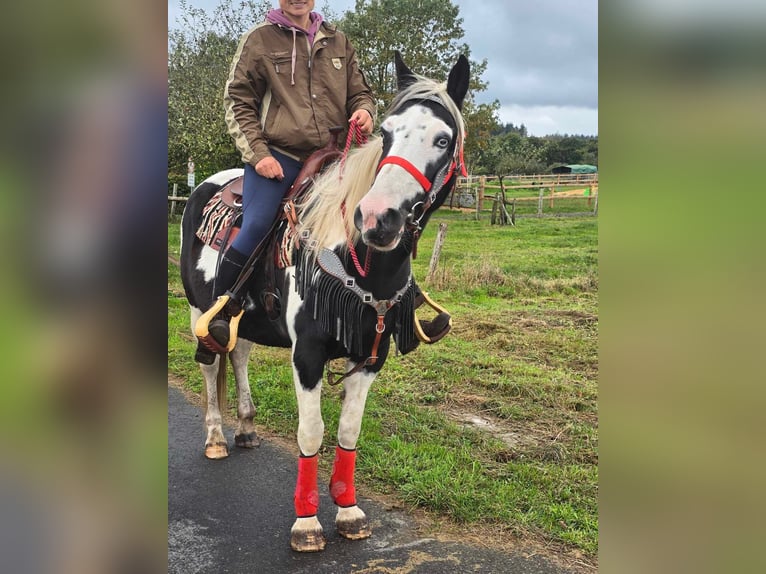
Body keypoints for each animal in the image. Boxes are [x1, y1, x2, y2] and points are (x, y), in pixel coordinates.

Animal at [180, 54, 472, 552]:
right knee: (211, 361)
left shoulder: (371, 356)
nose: (376, 218)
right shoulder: (308, 355)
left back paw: (247, 427)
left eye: (442, 139)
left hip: (244, 320)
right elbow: (311, 432)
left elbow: (349, 431)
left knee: (238, 355)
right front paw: (307, 521)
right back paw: (216, 436)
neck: (356, 260)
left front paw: (349, 510)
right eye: (387, 133)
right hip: (202, 312)